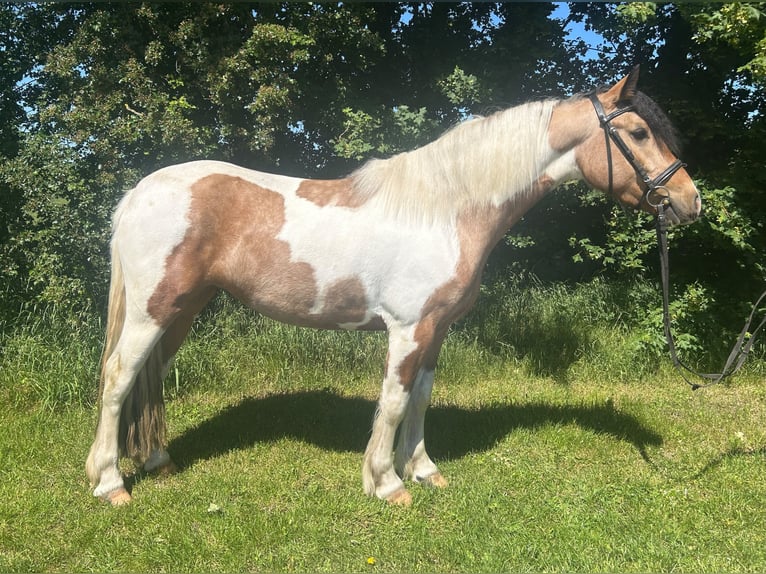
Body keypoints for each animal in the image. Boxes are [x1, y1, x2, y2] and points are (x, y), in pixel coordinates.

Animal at [86, 67, 701, 507]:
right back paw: (110, 483)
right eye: (638, 132)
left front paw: (424, 470)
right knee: (118, 377)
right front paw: (386, 483)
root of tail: (139, 192)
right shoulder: (407, 329)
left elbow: (422, 398)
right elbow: (394, 400)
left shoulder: (437, 329)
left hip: (183, 310)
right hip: (151, 309)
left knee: (150, 377)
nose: (690, 201)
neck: (446, 209)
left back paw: (158, 462)